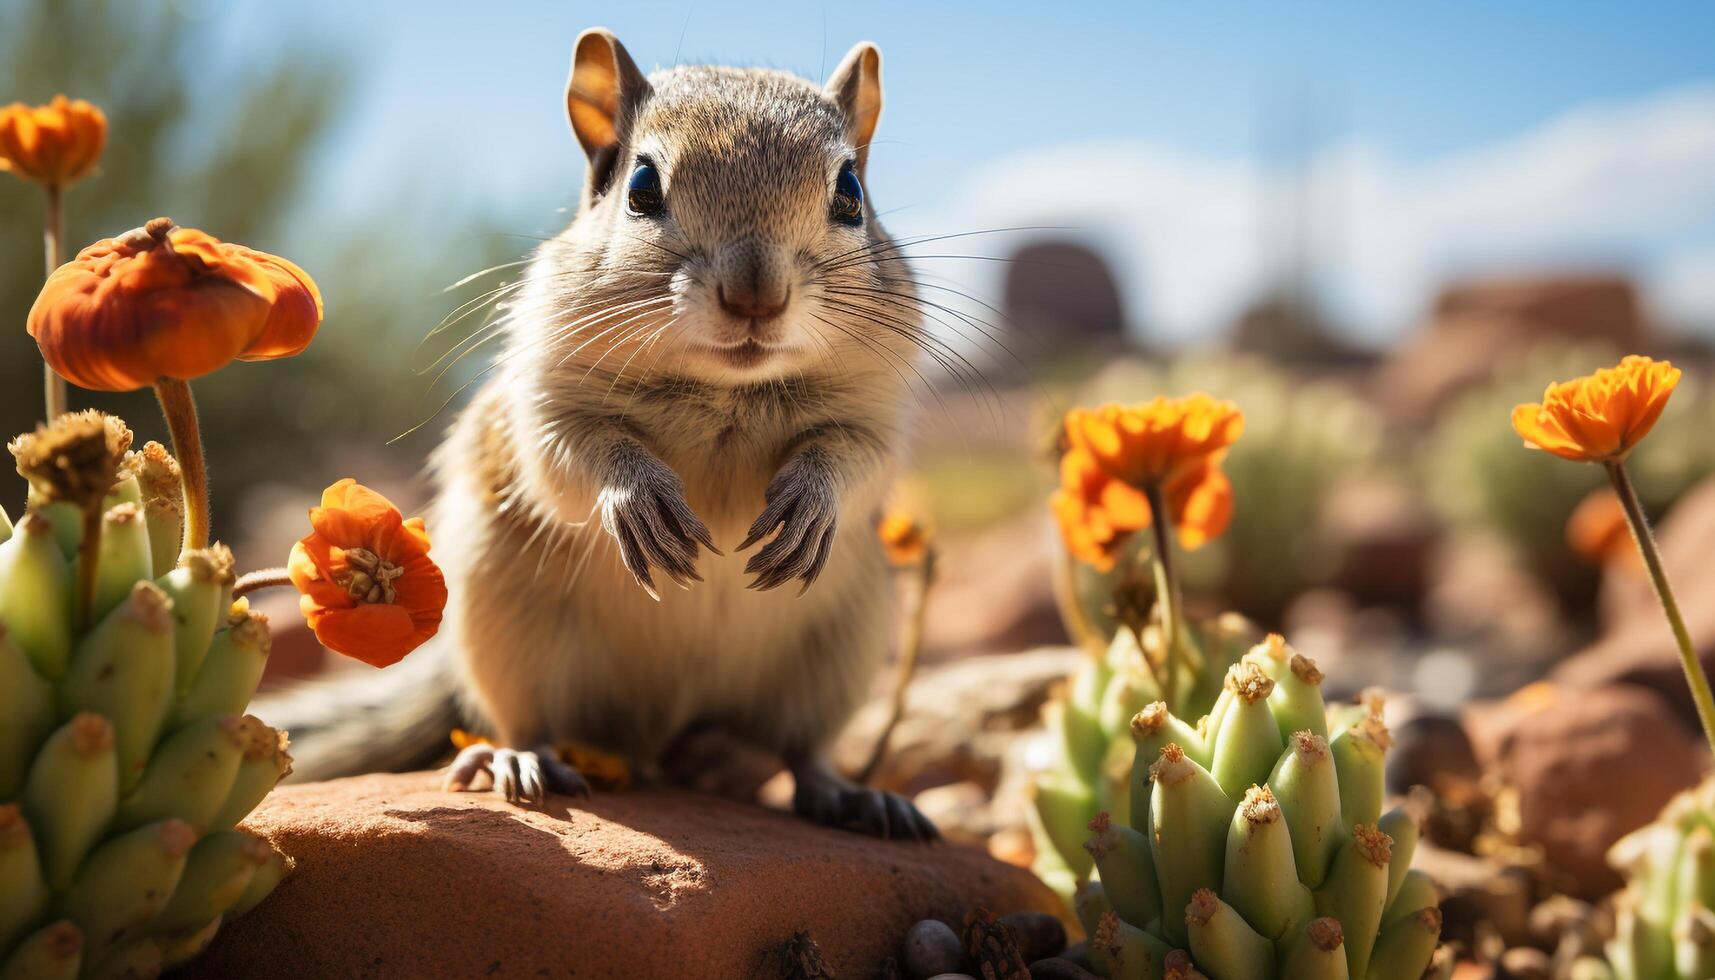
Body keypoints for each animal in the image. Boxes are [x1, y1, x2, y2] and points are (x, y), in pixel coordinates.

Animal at [257, 30, 939, 844]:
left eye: (849, 192)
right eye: (641, 184)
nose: (756, 297)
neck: (726, 391)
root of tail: (655, 738)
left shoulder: (878, 406)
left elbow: (855, 460)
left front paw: (810, 502)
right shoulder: (542, 396)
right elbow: (571, 456)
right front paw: (638, 501)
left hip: (840, 655)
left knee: (800, 751)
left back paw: (835, 790)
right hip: (505, 630)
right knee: (528, 720)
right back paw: (518, 761)